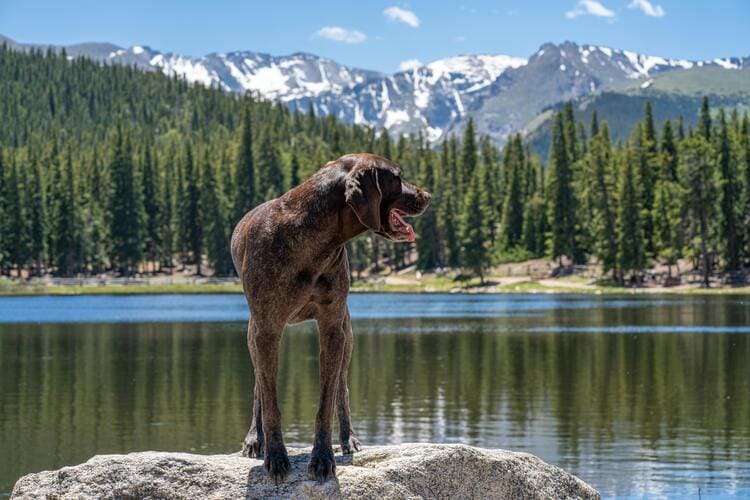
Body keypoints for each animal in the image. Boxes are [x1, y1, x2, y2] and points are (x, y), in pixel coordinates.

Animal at [229, 151, 432, 480]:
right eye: (398, 176)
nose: (427, 196)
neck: (311, 240)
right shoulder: (267, 328)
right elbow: (270, 401)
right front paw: (276, 456)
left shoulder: (332, 326)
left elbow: (326, 401)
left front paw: (323, 457)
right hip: (253, 334)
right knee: (259, 387)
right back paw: (254, 439)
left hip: (347, 336)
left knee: (342, 389)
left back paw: (349, 438)